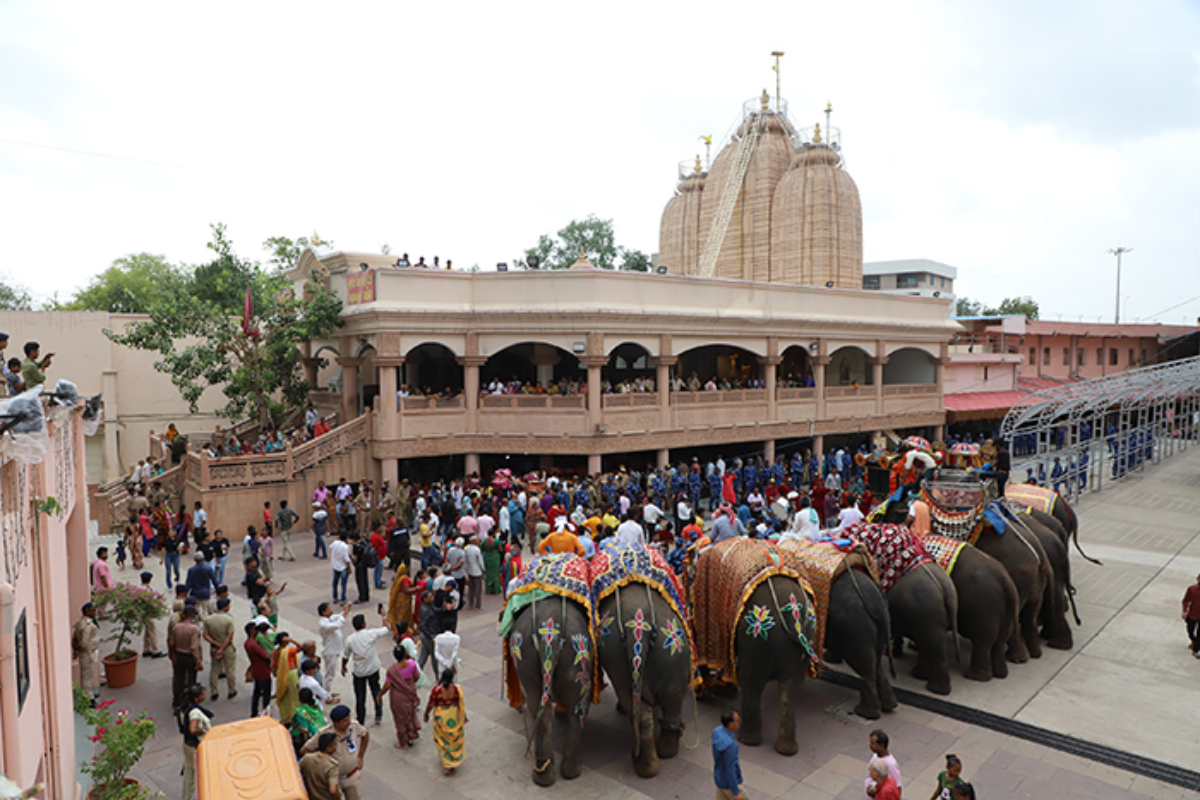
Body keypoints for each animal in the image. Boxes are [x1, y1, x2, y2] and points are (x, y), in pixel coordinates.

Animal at [496, 554, 595, 786]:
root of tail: (548, 636)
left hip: (531, 656)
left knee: (545, 706)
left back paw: (549, 774)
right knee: (573, 707)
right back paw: (563, 773)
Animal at [691, 537, 820, 758]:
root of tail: (793, 614)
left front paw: (710, 691)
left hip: (756, 642)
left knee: (751, 681)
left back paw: (747, 740)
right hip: (799, 644)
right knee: (790, 689)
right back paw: (786, 750)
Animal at [772, 537, 897, 719]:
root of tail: (874, 601)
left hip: (854, 628)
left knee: (865, 666)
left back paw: (866, 713)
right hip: (878, 626)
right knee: (877, 663)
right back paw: (888, 706)